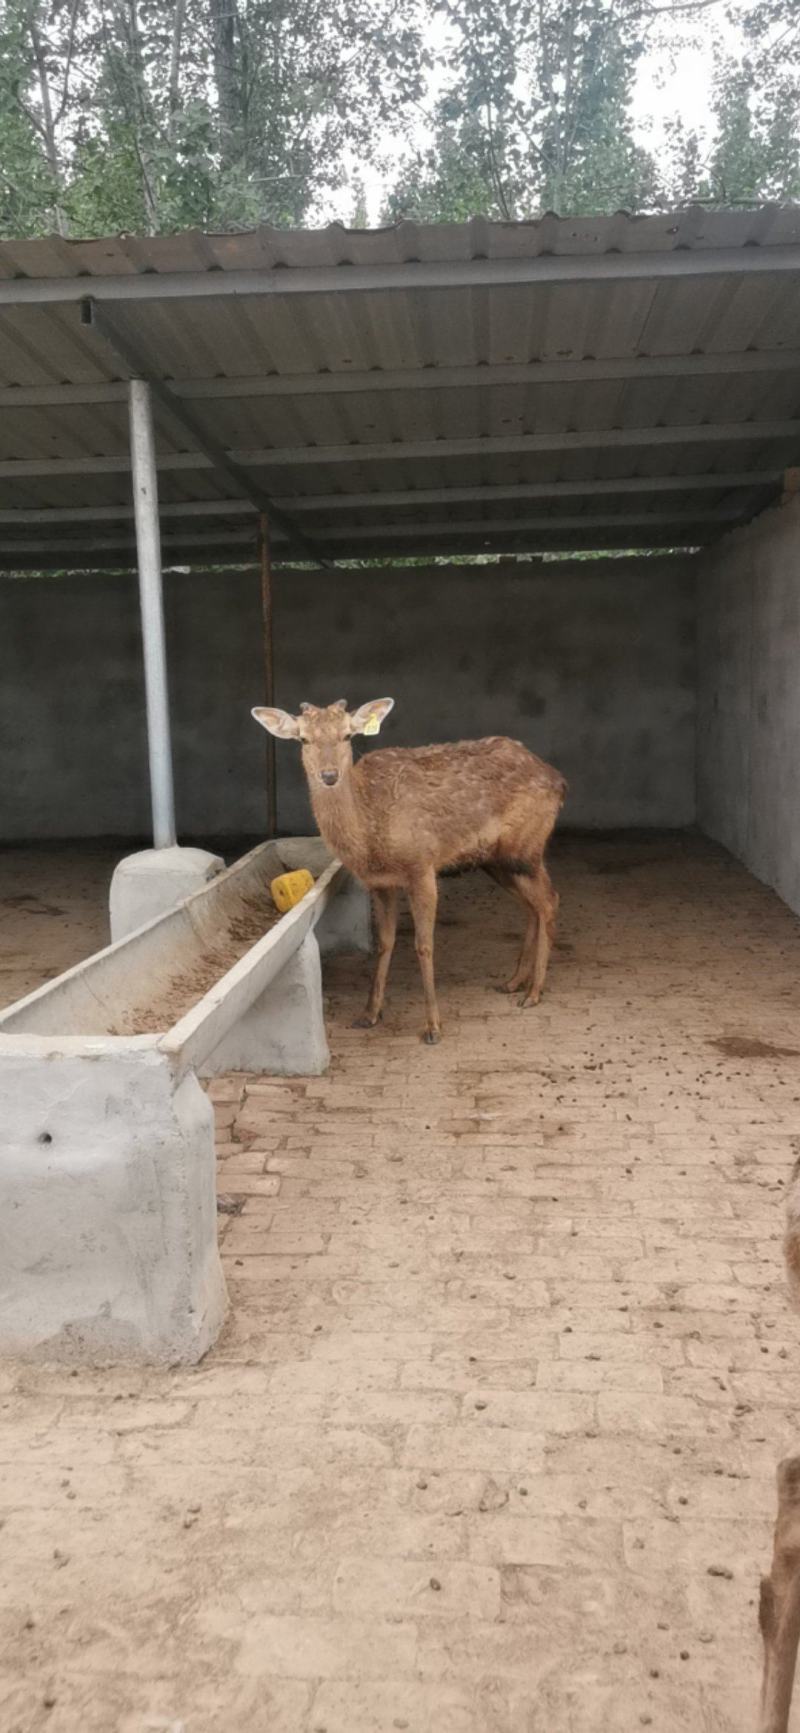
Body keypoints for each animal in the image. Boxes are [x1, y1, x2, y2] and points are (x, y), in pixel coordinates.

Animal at [252, 697, 566, 1045]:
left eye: (347, 735)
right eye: (304, 739)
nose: (329, 775)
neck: (371, 838)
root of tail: (558, 780)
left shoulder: (422, 866)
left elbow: (423, 945)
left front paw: (433, 1027)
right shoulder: (378, 883)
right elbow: (385, 942)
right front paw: (369, 1013)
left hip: (527, 849)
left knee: (549, 900)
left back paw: (534, 991)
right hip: (496, 861)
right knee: (532, 906)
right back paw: (513, 981)